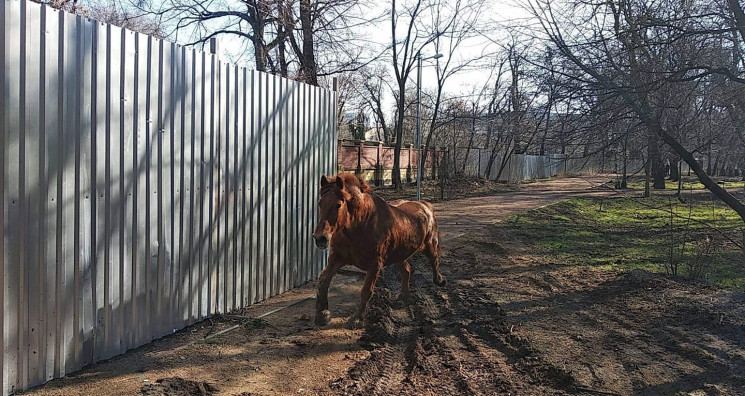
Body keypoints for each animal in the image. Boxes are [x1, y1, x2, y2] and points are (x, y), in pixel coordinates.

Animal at [310, 173, 444, 328]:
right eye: (320, 203)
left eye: (338, 204)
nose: (320, 238)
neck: (360, 225)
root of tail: (425, 205)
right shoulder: (337, 258)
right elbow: (323, 280)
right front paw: (322, 315)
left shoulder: (374, 264)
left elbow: (366, 291)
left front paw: (356, 319)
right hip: (400, 254)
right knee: (406, 271)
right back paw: (402, 298)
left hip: (429, 245)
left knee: (434, 260)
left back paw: (439, 280)